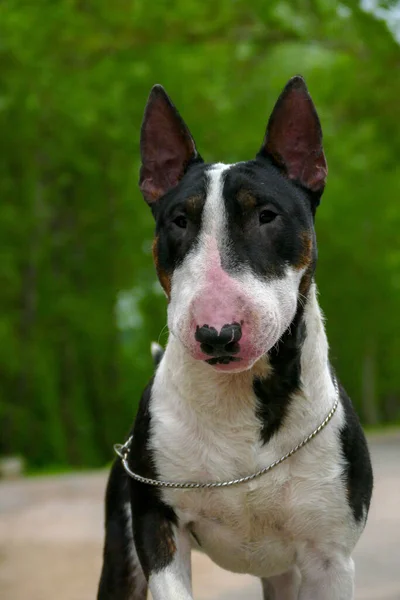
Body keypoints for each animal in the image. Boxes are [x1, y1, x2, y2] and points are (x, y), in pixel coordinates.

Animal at [98, 77, 374, 596]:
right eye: (179, 221)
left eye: (266, 215)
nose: (216, 334)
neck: (238, 400)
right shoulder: (155, 527)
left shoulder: (330, 557)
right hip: (121, 551)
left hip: (285, 571)